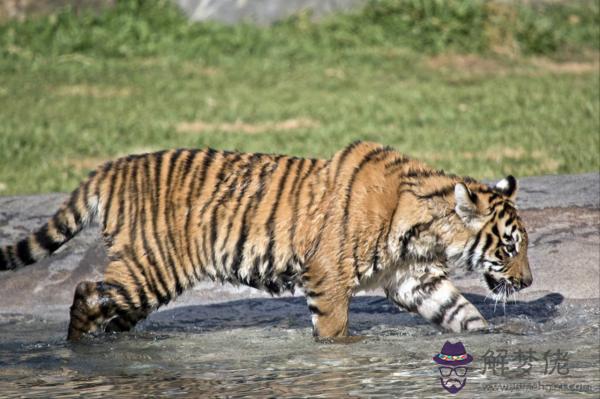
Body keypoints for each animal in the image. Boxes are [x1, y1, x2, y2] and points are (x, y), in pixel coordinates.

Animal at [0, 141, 536, 340]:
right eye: (510, 247)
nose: (529, 282)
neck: (425, 229)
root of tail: (110, 168)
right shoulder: (327, 277)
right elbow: (335, 331)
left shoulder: (415, 280)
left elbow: (461, 313)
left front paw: (489, 339)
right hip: (151, 268)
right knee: (86, 292)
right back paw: (77, 350)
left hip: (145, 281)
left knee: (110, 308)